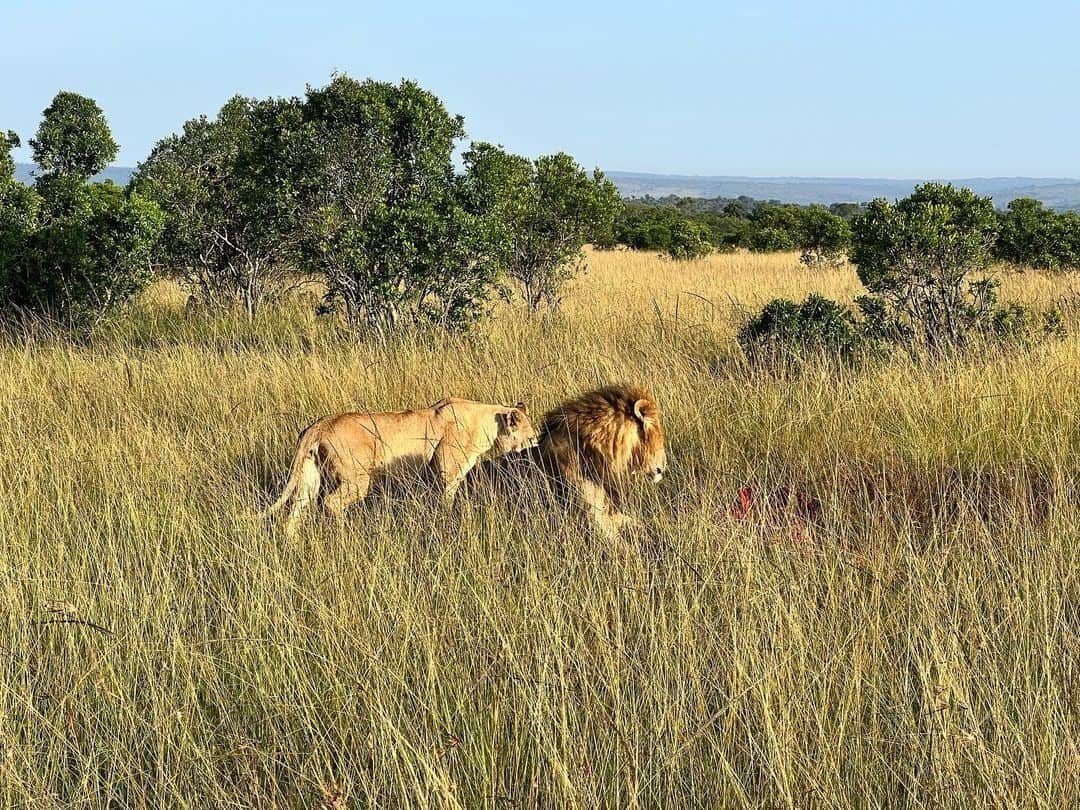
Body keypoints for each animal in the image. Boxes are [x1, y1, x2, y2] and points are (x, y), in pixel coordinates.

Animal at [263, 397, 537, 535]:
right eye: (532, 437)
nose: (535, 448)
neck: (490, 422)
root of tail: (319, 424)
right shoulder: (447, 473)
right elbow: (448, 502)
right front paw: (450, 525)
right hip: (357, 480)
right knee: (331, 502)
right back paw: (345, 535)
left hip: (309, 478)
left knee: (295, 510)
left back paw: (292, 542)